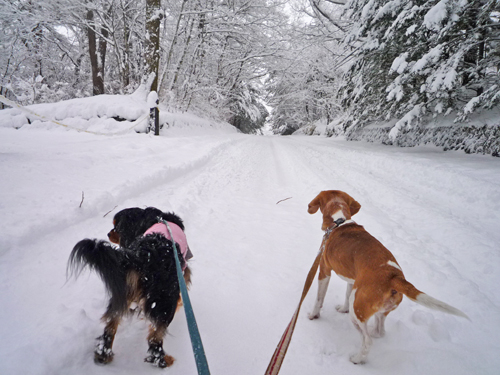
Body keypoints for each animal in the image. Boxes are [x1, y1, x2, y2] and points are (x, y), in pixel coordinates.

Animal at [67, 209, 191, 370]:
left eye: (117, 227)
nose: (108, 233)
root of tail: (144, 254)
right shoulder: (183, 273)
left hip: (123, 292)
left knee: (111, 325)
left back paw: (103, 355)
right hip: (164, 301)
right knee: (155, 338)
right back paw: (162, 361)